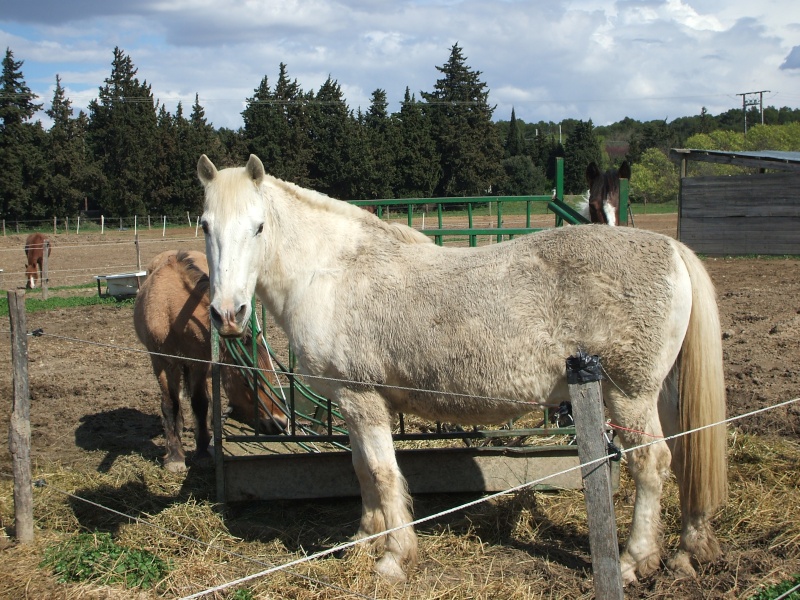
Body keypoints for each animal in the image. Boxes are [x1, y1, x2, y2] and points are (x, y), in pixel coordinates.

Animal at [134, 250, 288, 474]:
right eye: (245, 382)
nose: (280, 423)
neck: (173, 312)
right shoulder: (162, 362)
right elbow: (171, 404)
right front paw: (175, 457)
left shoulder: (200, 363)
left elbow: (200, 403)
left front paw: (203, 451)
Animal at [197, 152, 728, 584]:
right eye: (205, 226)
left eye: (258, 227)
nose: (228, 314)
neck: (331, 273)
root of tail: (671, 249)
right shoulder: (351, 404)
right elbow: (362, 472)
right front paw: (363, 540)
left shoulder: (364, 400)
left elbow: (384, 474)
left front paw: (394, 559)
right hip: (661, 393)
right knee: (685, 455)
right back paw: (688, 550)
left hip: (628, 394)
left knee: (651, 464)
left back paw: (636, 560)